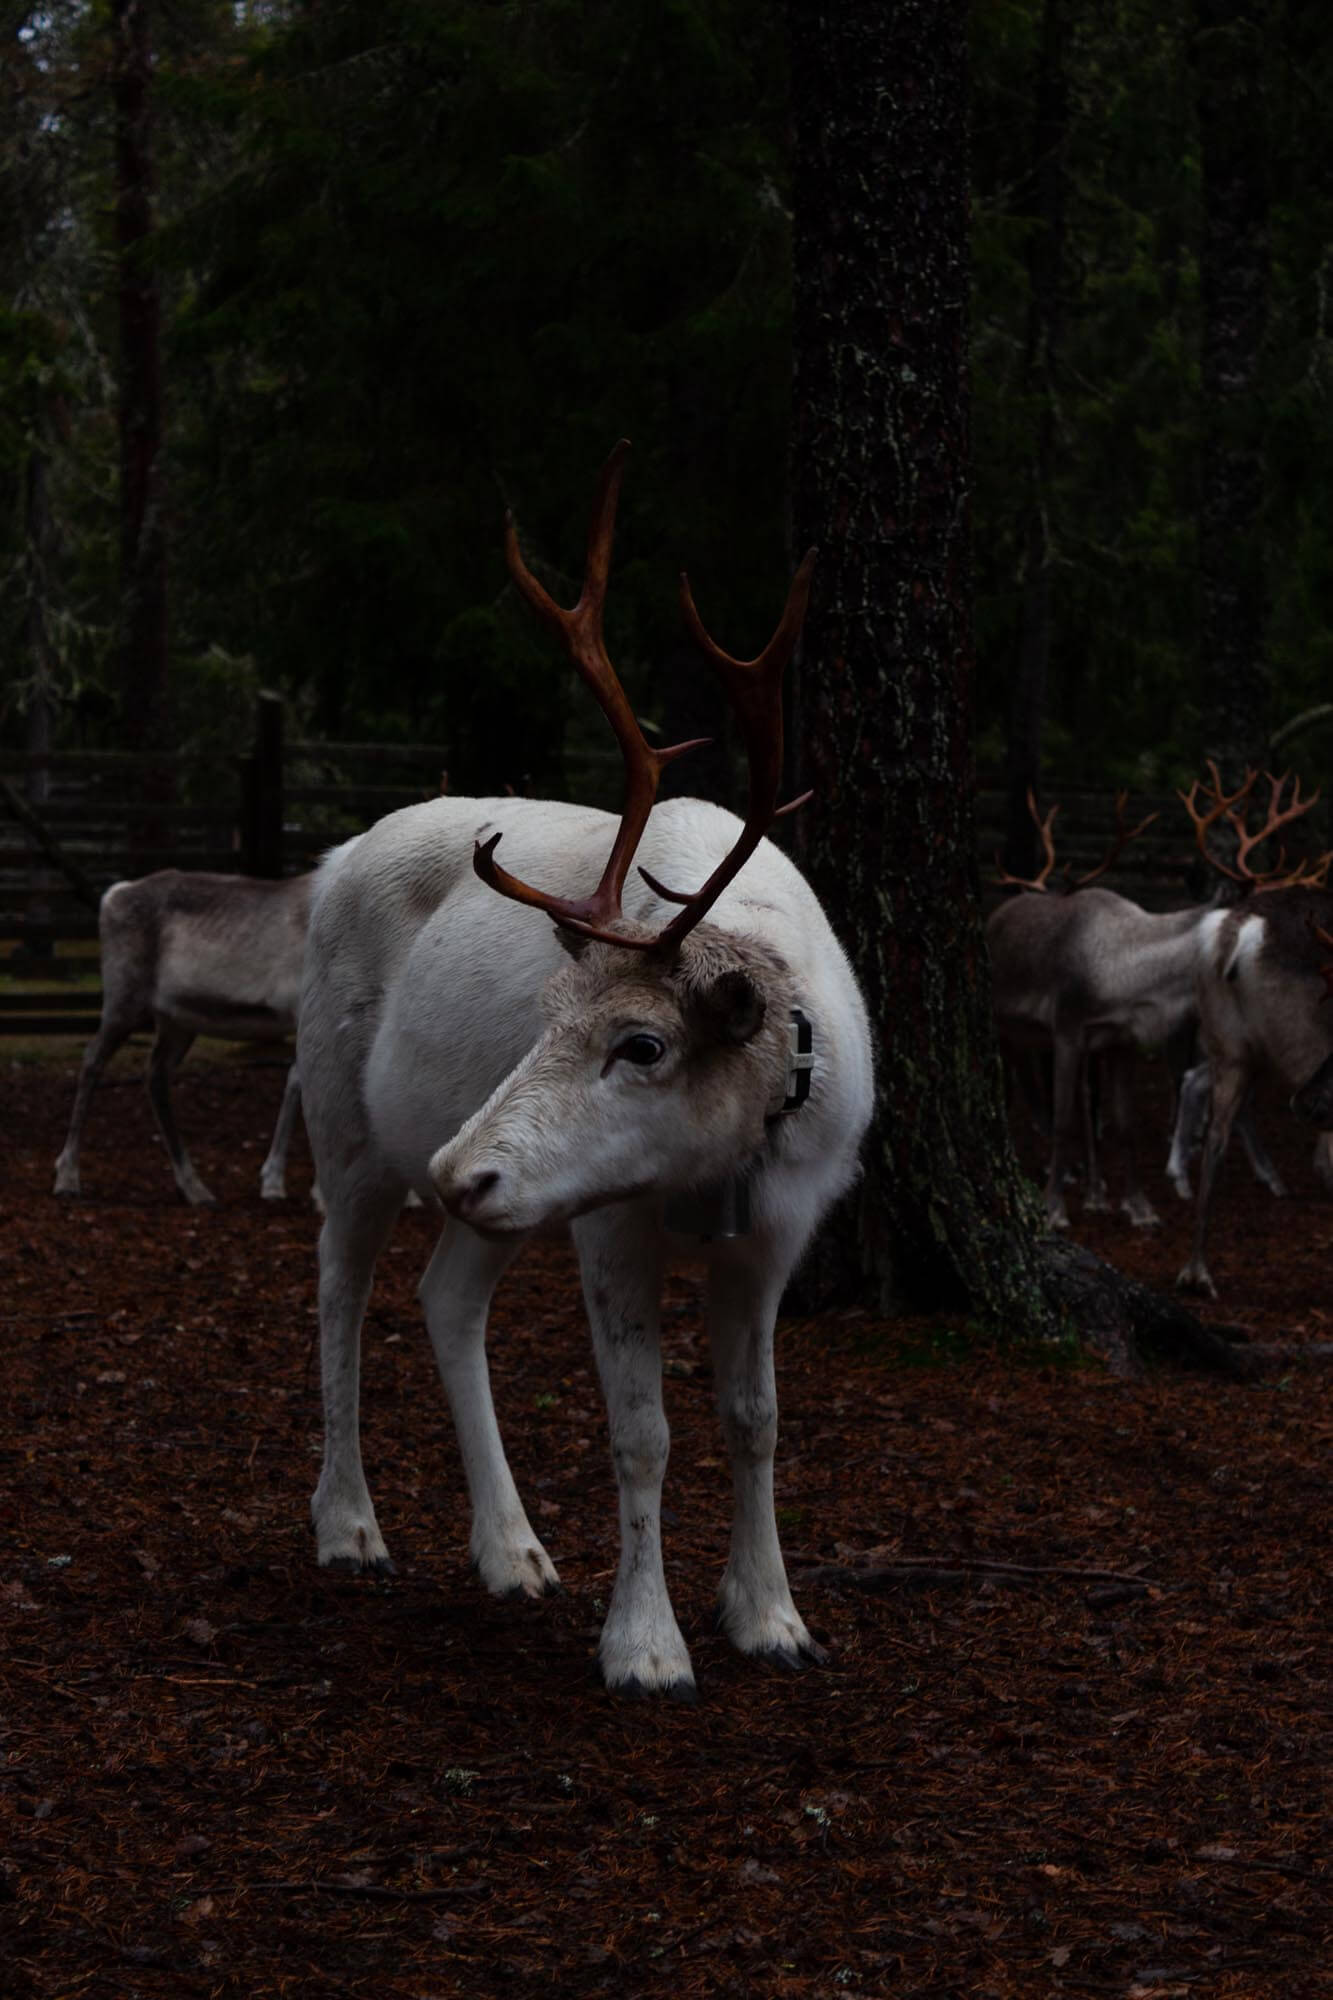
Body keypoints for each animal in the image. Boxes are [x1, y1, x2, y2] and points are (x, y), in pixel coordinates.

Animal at [52, 865, 327, 1205]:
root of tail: (113, 895)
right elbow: (303, 1084)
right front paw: (293, 1186)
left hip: (177, 1022)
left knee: (154, 1075)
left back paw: (193, 1186)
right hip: (123, 1000)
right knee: (93, 1060)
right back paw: (67, 1176)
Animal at [295, 442, 874, 1701]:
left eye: (641, 1043)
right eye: (548, 1014)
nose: (457, 1161)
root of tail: (326, 859)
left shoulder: (782, 1229)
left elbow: (756, 1413)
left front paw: (771, 1614)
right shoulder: (610, 1222)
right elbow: (643, 1431)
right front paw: (646, 1645)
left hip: (506, 1203)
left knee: (444, 1293)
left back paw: (511, 1549)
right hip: (345, 1125)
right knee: (339, 1289)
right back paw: (349, 1526)